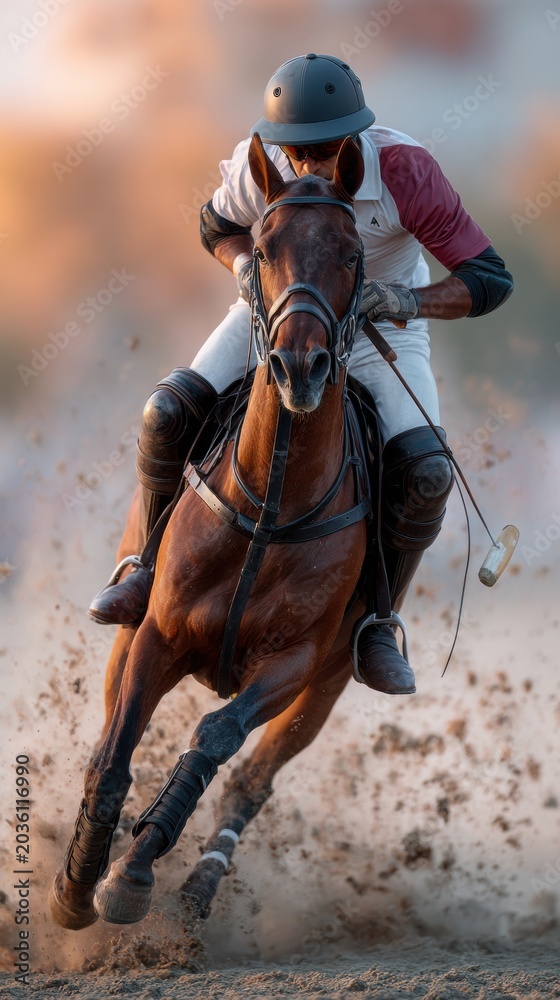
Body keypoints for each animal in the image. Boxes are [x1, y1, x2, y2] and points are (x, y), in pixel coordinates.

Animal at [49, 133, 375, 931]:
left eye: (353, 253)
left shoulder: (293, 661)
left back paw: (198, 890)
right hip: (131, 622)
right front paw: (78, 881)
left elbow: (214, 740)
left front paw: (133, 874)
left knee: (253, 779)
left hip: (324, 688)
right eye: (261, 247)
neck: (272, 505)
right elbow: (115, 753)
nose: (299, 365)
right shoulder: (159, 632)